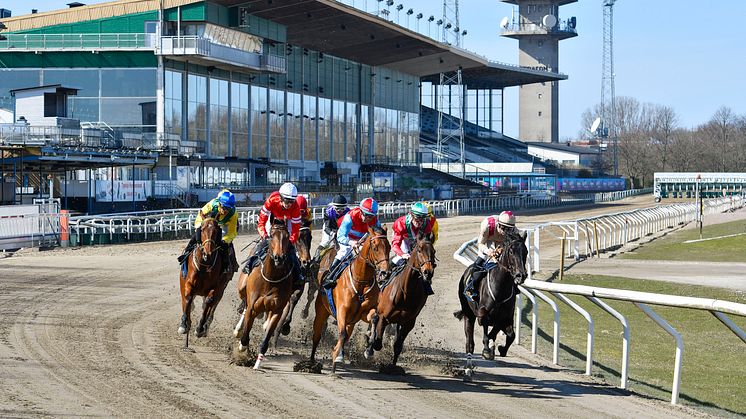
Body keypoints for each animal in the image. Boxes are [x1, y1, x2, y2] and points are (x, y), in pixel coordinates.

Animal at [177, 218, 230, 350]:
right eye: (202, 229)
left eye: (216, 231)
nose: (208, 252)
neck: (205, 265)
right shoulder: (189, 284)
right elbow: (189, 298)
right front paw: (184, 324)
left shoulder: (216, 288)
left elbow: (208, 302)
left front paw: (200, 328)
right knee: (186, 301)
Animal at [232, 218, 296, 370]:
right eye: (271, 235)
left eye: (287, 236)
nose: (279, 258)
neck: (271, 278)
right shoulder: (253, 307)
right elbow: (245, 337)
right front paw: (242, 350)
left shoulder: (277, 310)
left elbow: (266, 339)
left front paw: (257, 363)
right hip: (242, 288)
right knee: (244, 306)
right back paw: (238, 330)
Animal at [306, 226, 390, 374]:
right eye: (375, 248)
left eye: (389, 247)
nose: (385, 273)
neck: (361, 281)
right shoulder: (342, 311)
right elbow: (342, 333)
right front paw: (337, 355)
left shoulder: (364, 313)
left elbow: (374, 319)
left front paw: (369, 350)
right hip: (321, 311)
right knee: (317, 336)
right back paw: (313, 362)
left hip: (351, 321)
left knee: (346, 335)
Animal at [364, 231, 436, 370]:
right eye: (419, 250)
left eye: (433, 251)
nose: (428, 272)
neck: (406, 292)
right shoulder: (384, 316)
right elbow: (377, 342)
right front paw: (369, 349)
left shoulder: (408, 323)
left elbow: (397, 346)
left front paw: (393, 367)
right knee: (373, 321)